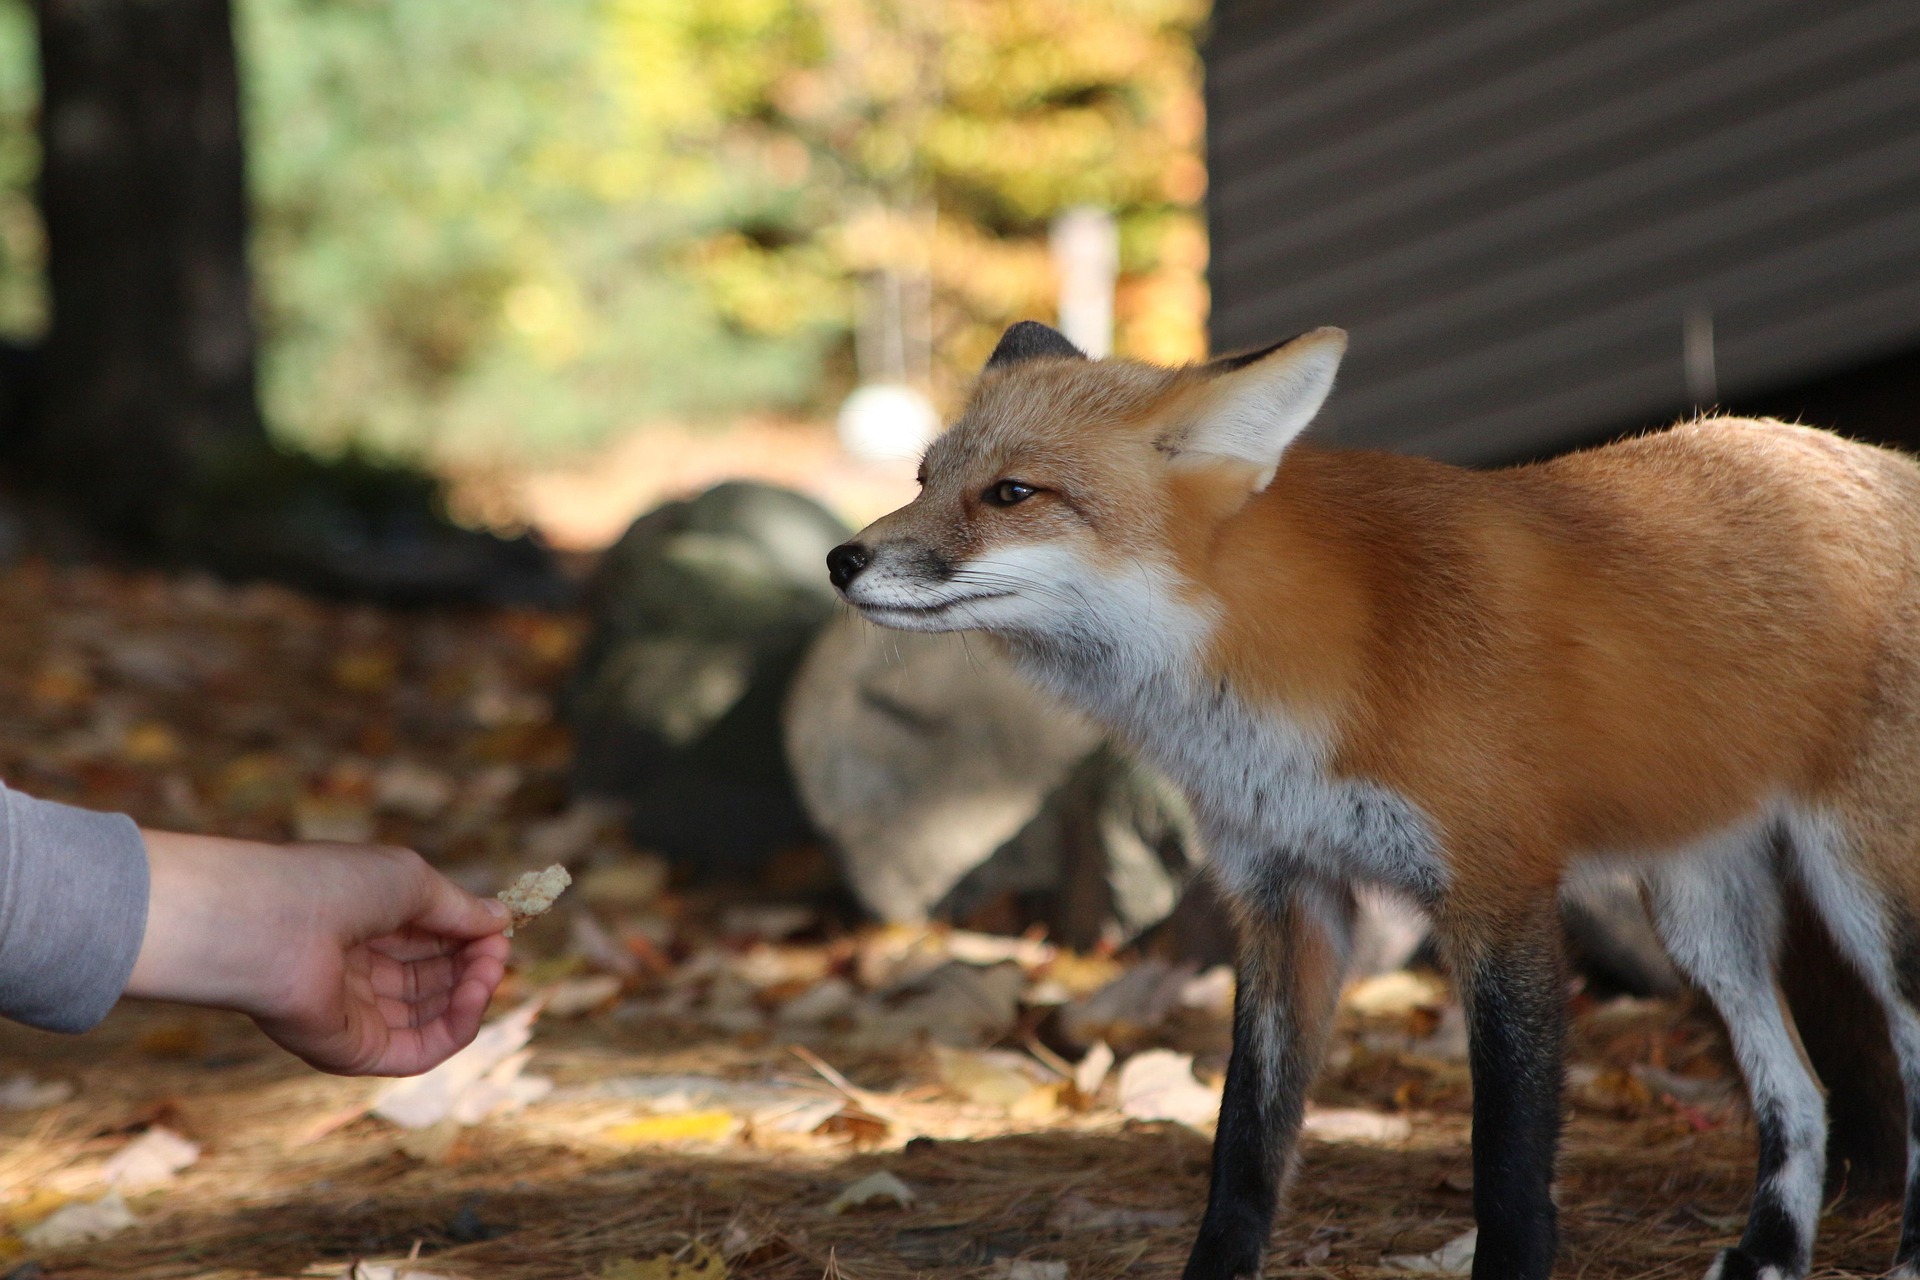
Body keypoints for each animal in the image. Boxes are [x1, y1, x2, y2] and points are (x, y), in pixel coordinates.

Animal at [827, 320, 1920, 1280]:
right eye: (923, 479)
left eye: (1013, 493)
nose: (841, 558)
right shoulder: (1286, 898)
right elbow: (1244, 1148)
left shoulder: (1498, 892)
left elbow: (1507, 1164)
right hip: (1701, 918)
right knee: (1803, 1094)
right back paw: (1772, 1251)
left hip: (1869, 902)